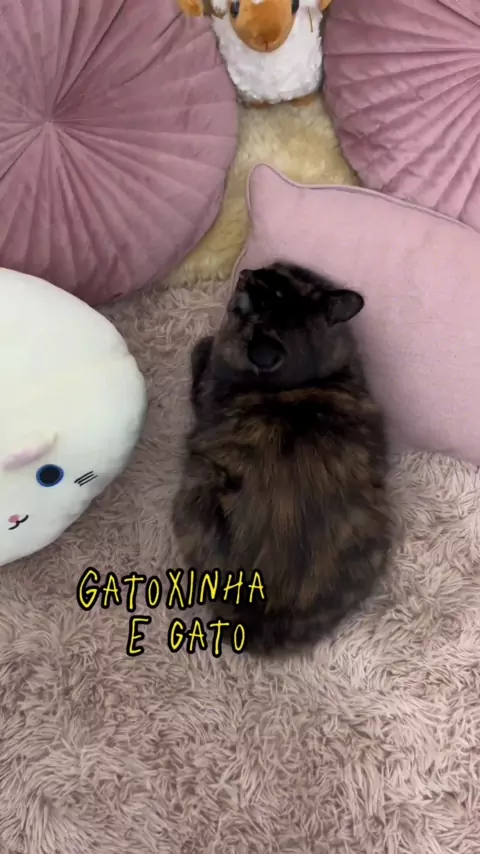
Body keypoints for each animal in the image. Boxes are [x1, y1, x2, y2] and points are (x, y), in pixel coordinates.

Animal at [172, 262, 391, 655]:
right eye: (279, 273)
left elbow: (200, 354)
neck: (298, 379)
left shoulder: (206, 389)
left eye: (250, 302)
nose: (246, 271)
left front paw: (205, 343)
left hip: (195, 488)